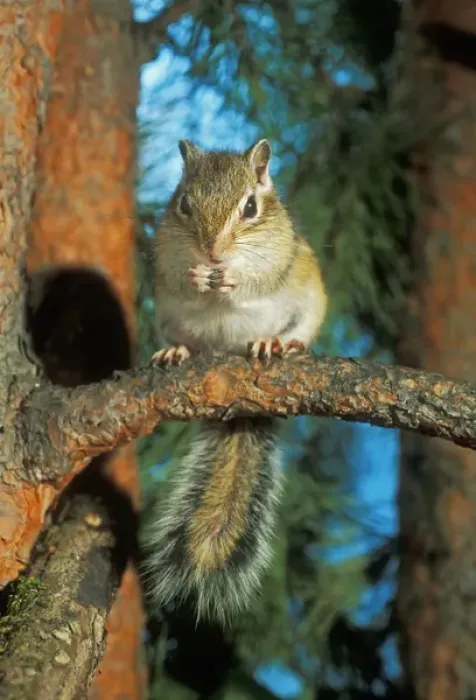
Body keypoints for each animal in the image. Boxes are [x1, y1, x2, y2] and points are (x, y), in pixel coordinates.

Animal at [145, 138, 328, 623]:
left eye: (250, 207)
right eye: (184, 203)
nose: (212, 253)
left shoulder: (280, 257)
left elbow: (255, 280)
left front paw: (231, 277)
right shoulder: (164, 262)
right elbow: (181, 280)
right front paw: (196, 277)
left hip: (310, 298)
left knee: (296, 329)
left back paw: (276, 343)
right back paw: (178, 351)